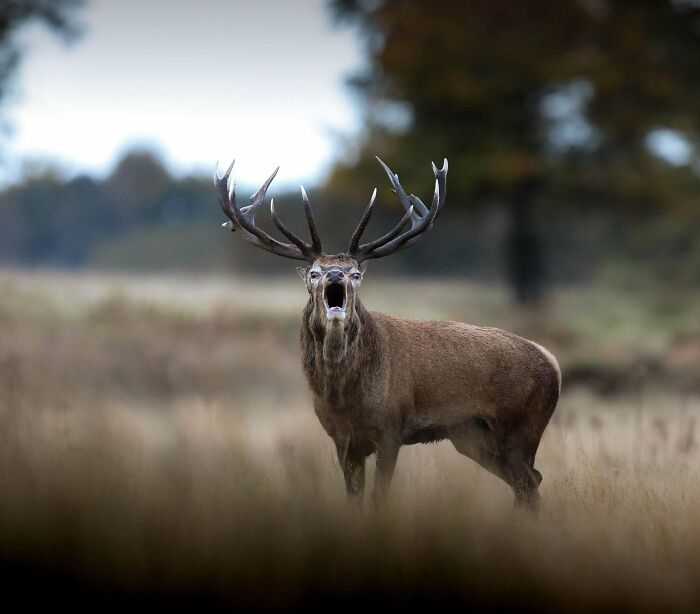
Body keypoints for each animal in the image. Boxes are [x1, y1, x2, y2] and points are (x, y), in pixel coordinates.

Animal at [213, 156, 560, 508]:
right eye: (314, 272)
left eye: (356, 273)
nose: (335, 274)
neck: (345, 398)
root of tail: (552, 363)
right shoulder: (341, 438)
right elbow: (354, 499)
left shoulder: (391, 428)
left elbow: (379, 498)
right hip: (471, 436)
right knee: (528, 482)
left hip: (521, 426)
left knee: (530, 481)